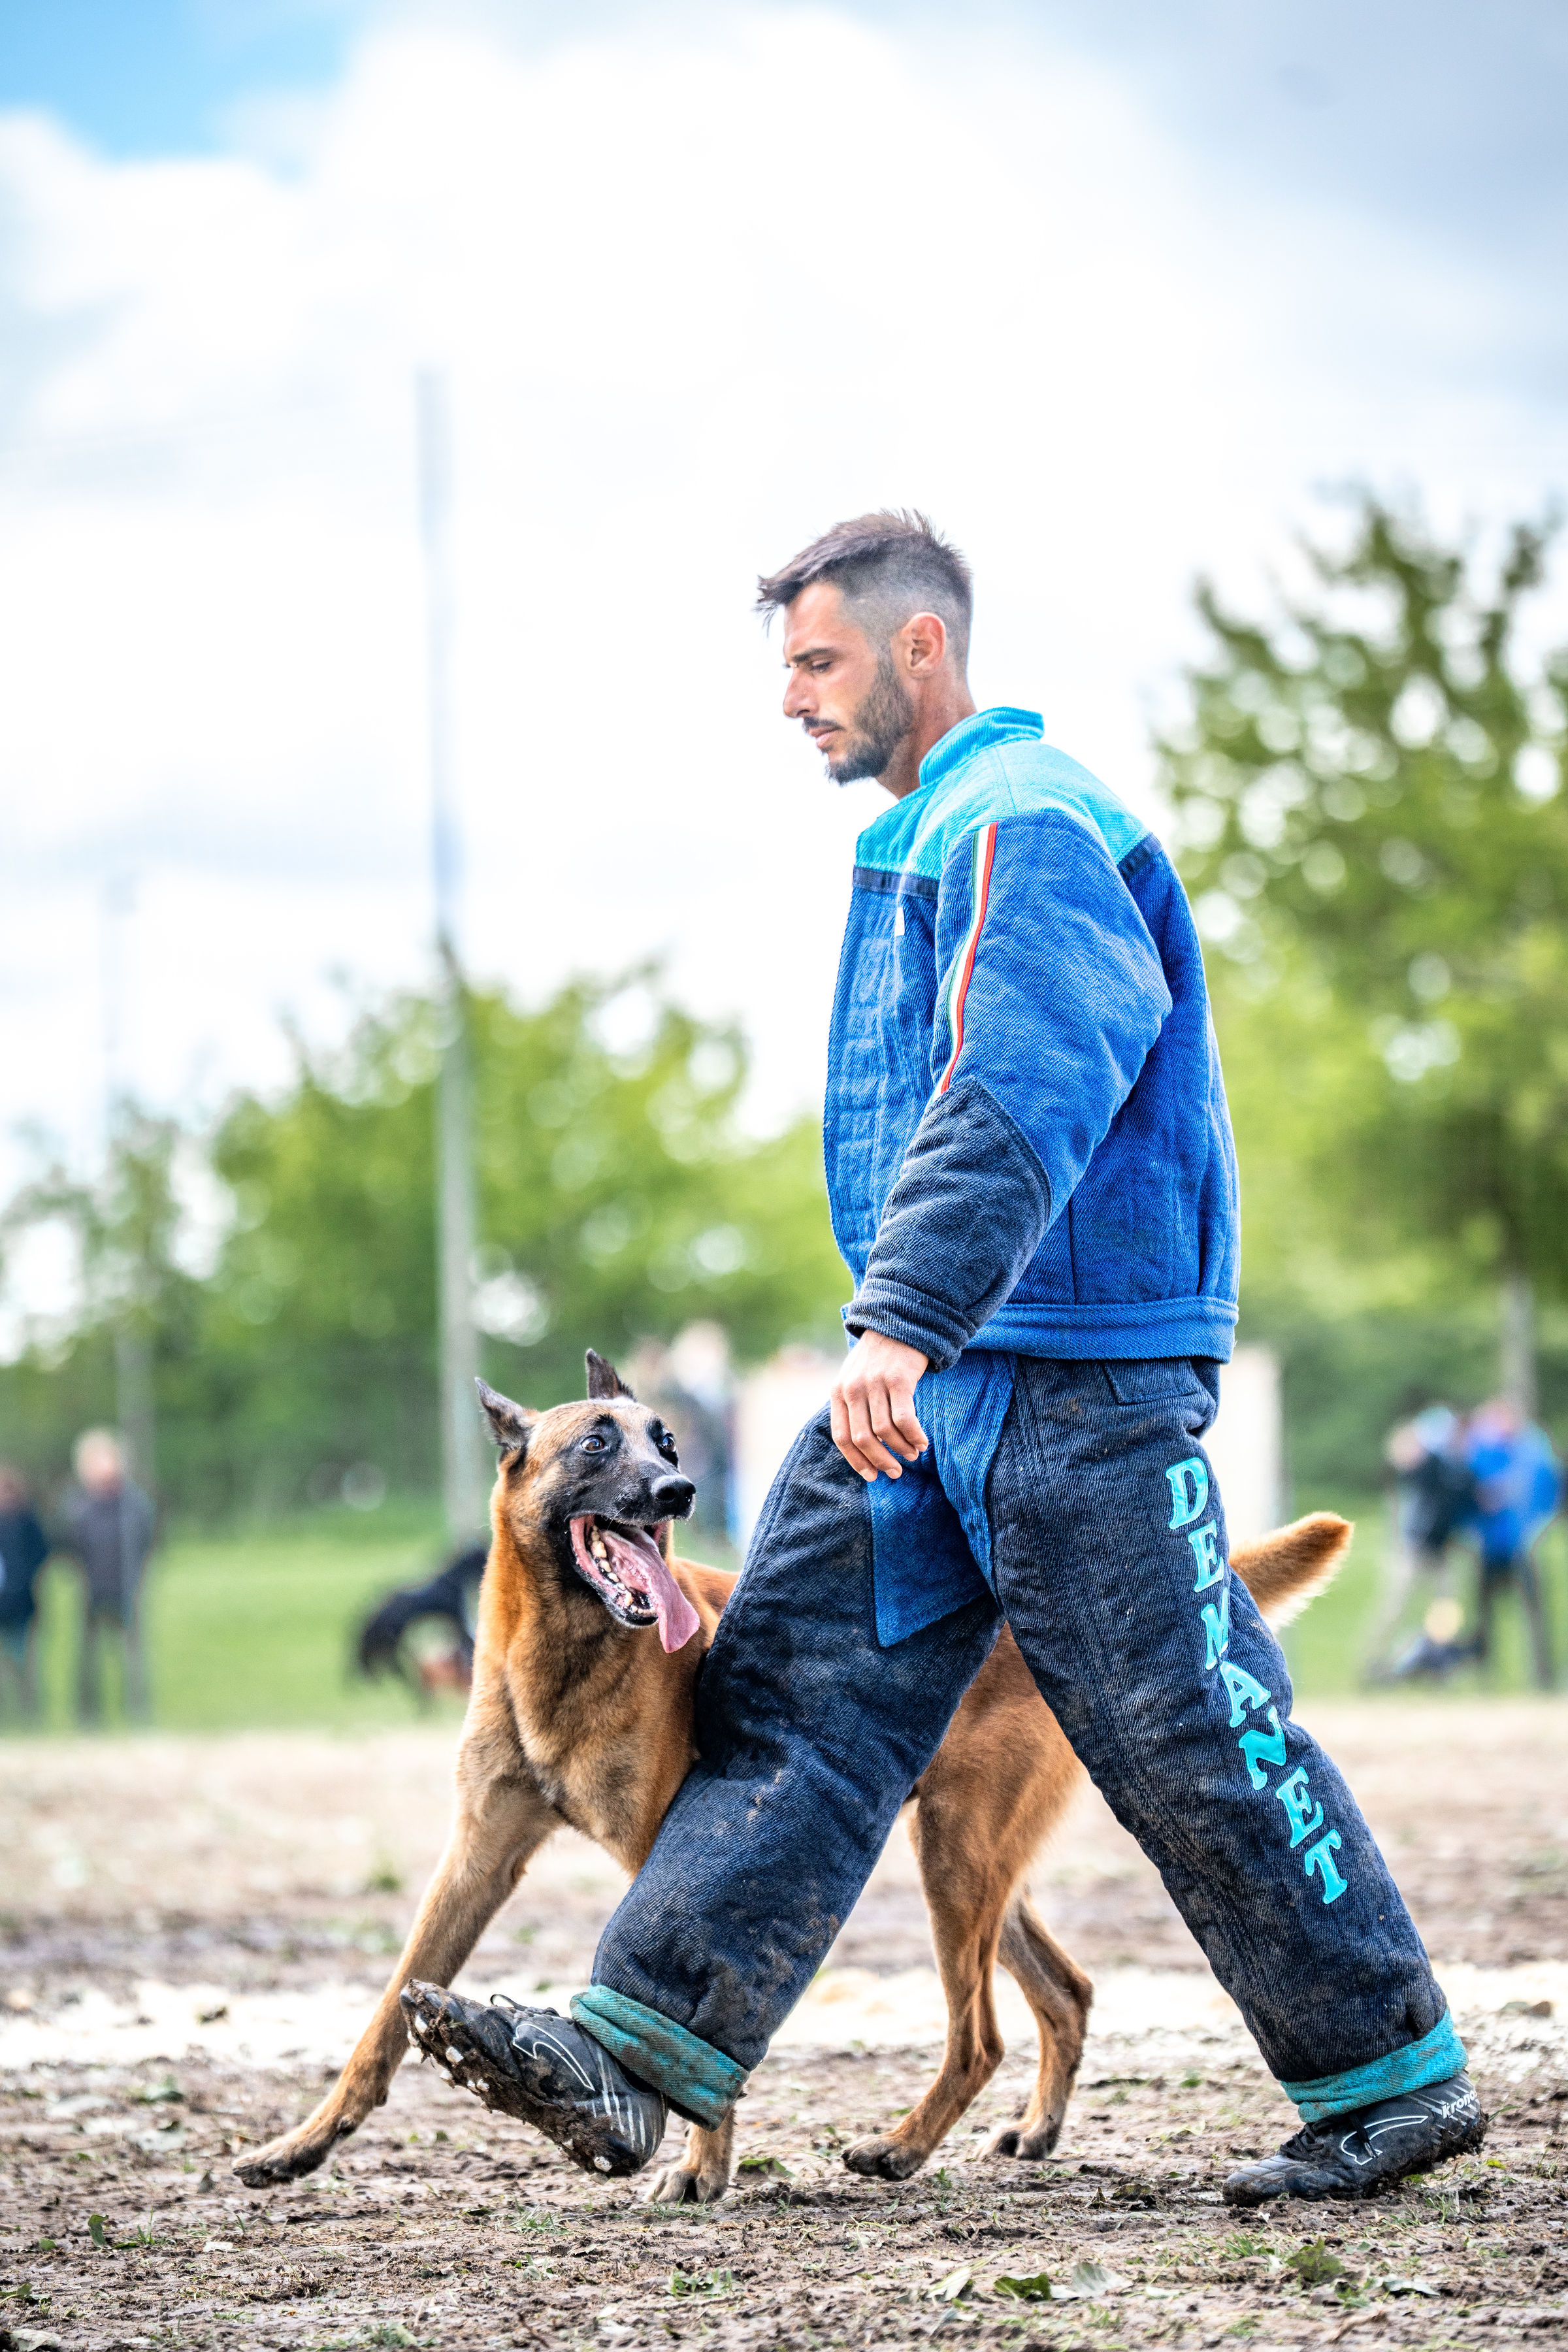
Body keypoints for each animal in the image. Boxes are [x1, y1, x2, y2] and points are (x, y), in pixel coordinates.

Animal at [238, 1351, 1349, 2203]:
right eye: (598, 1443)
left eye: (667, 1442)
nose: (678, 1493)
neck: (562, 1656)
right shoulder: (475, 1861)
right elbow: (382, 2017)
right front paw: (300, 2147)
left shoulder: (664, 1844)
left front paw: (703, 2164)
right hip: (975, 1866)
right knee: (1065, 1993)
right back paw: (1032, 2132)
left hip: (953, 1860)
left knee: (980, 2035)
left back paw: (899, 2148)